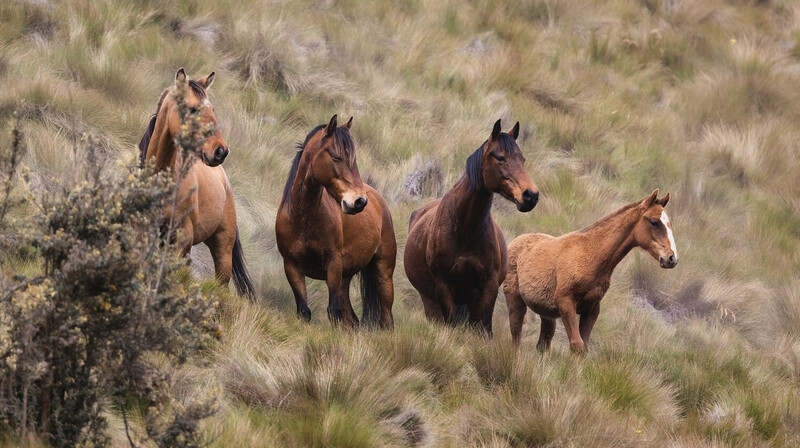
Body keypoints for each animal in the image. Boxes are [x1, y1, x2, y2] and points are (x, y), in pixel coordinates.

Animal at [276, 114, 398, 328]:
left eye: (353, 160)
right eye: (335, 157)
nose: (359, 201)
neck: (303, 218)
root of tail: (378, 199)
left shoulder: (333, 264)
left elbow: (333, 311)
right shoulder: (292, 266)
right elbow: (304, 311)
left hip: (383, 274)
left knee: (386, 319)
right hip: (344, 279)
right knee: (352, 320)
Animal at [404, 119, 540, 336]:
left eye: (522, 159)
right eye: (500, 157)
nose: (530, 196)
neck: (465, 231)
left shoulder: (488, 287)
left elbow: (481, 327)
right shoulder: (443, 286)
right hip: (431, 301)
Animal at [504, 189, 680, 354]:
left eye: (670, 223)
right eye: (654, 222)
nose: (672, 258)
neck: (591, 255)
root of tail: (515, 241)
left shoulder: (592, 309)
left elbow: (584, 347)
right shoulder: (565, 303)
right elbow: (577, 345)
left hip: (546, 313)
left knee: (542, 345)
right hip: (515, 301)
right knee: (516, 336)